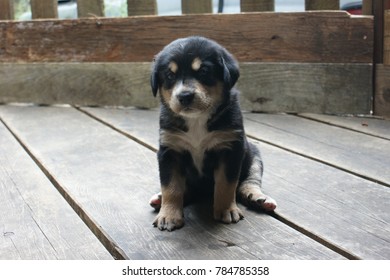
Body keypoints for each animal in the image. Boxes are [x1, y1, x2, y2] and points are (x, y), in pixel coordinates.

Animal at [150, 36, 278, 231]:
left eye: (204, 71)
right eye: (170, 76)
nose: (185, 96)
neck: (197, 120)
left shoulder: (230, 148)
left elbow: (226, 184)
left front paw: (226, 210)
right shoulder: (170, 150)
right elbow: (171, 187)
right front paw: (169, 215)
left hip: (254, 156)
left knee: (250, 181)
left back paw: (258, 198)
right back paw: (160, 199)